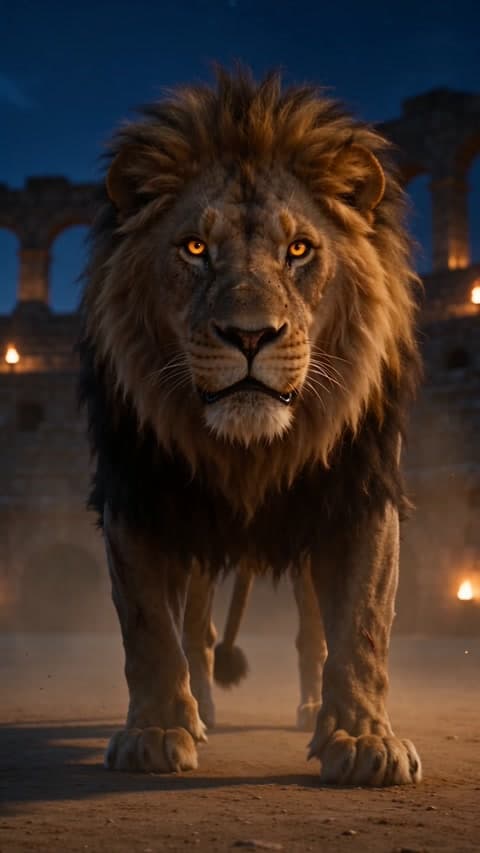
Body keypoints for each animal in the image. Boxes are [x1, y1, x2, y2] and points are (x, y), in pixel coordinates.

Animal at [79, 68, 422, 785]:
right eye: (195, 248)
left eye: (299, 250)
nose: (249, 335)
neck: (248, 450)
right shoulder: (137, 492)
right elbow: (149, 626)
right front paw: (155, 732)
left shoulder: (358, 492)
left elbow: (363, 623)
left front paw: (364, 739)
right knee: (198, 626)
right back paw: (202, 705)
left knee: (313, 629)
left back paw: (313, 705)